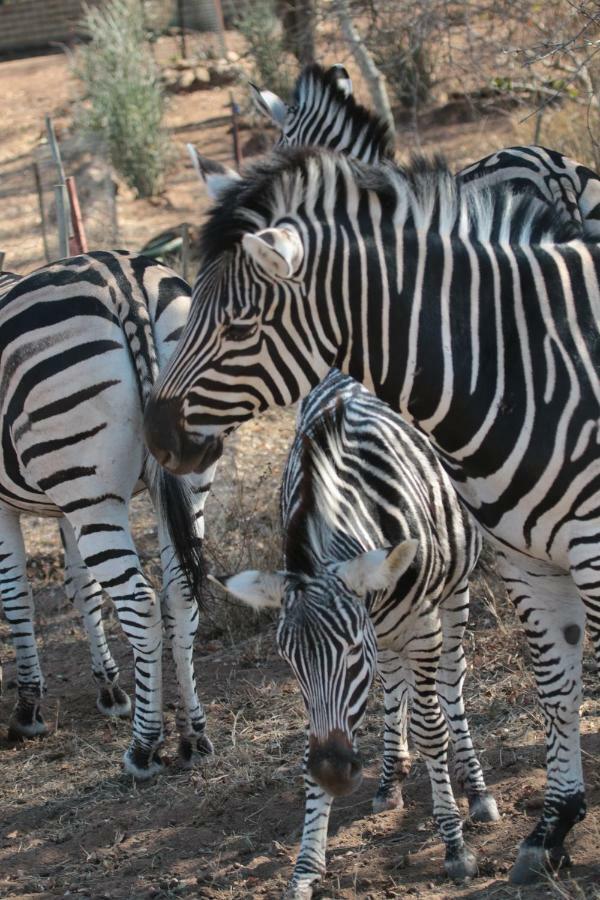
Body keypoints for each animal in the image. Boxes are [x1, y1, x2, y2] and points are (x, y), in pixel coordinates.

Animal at [0, 250, 216, 776]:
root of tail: (122, 280)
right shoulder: (62, 508)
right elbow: (83, 589)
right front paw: (109, 686)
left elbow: (16, 598)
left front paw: (28, 708)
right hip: (177, 483)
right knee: (179, 594)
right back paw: (192, 736)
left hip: (91, 490)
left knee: (140, 602)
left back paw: (143, 747)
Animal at [213, 368, 500, 892]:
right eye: (289, 663)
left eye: (348, 653)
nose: (334, 775)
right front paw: (305, 868)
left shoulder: (419, 627)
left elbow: (432, 728)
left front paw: (454, 846)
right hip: (389, 630)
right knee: (393, 680)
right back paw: (391, 777)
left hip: (455, 595)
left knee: (451, 683)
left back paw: (476, 790)